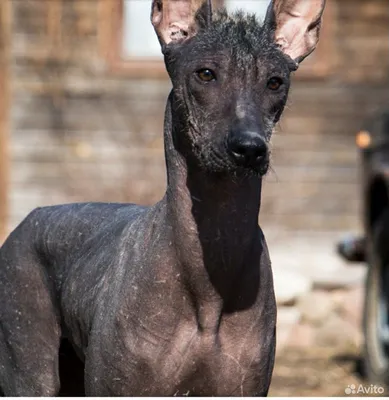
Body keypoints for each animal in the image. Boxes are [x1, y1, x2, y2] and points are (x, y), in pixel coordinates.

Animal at [0, 0, 324, 394]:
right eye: (205, 74)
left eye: (275, 82)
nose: (249, 148)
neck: (209, 278)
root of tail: (31, 216)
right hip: (27, 366)